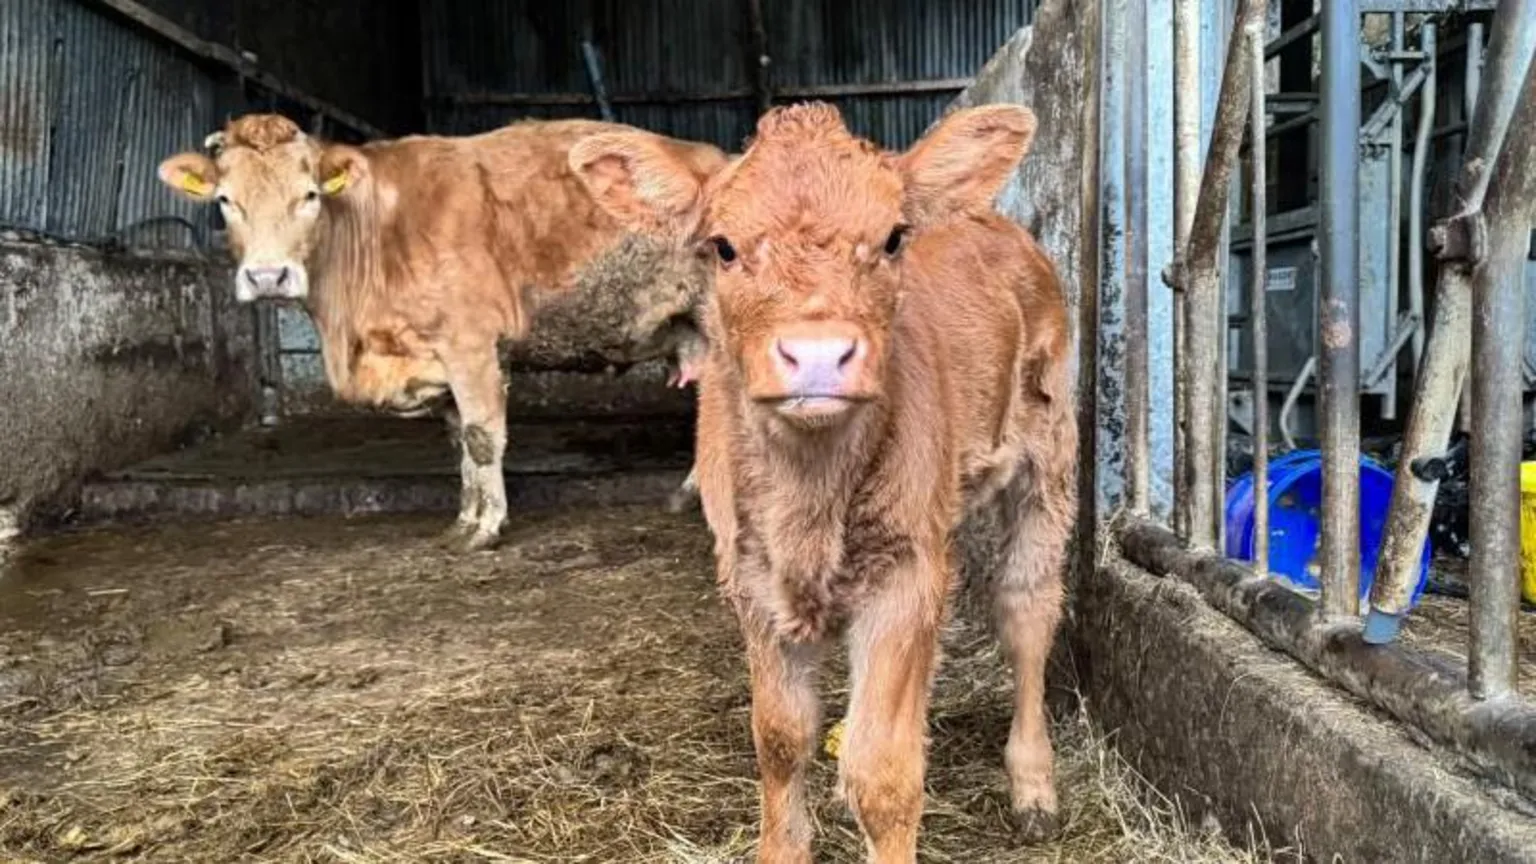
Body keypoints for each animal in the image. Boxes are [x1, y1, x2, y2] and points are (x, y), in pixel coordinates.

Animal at [156, 114, 725, 550]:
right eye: (225, 200)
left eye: (310, 195)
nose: (268, 276)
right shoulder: (437, 362)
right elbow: (459, 444)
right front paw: (464, 521)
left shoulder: (470, 345)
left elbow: (482, 438)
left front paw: (488, 530)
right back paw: (690, 493)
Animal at [569, 102, 1077, 862]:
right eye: (723, 247)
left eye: (893, 238)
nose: (816, 356)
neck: (808, 501)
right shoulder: (752, 577)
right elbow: (781, 738)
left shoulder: (905, 575)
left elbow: (884, 773)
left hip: (1050, 461)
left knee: (1027, 611)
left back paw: (1034, 785)